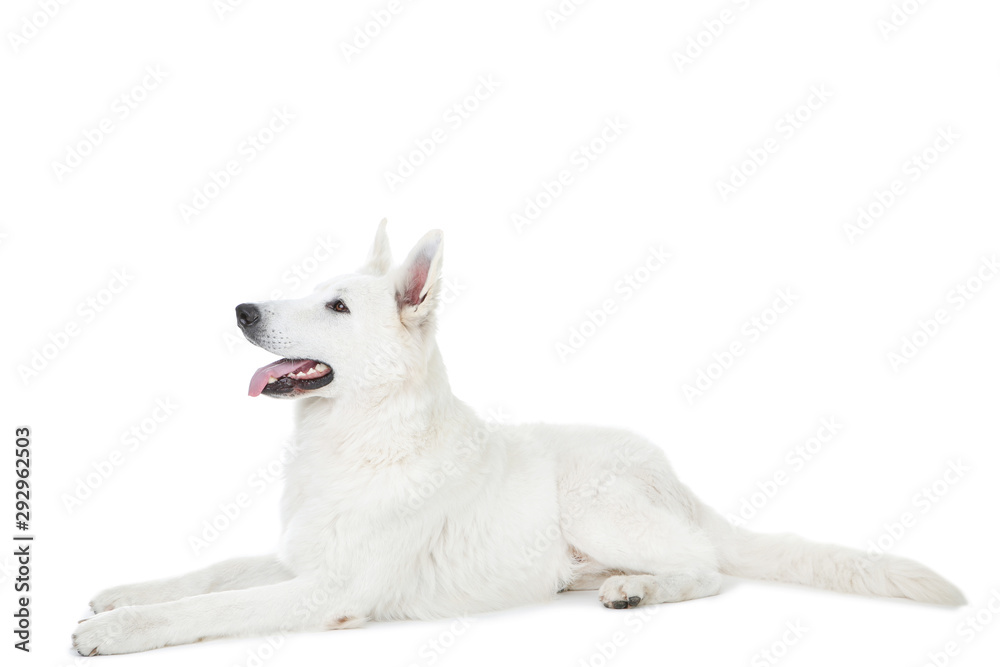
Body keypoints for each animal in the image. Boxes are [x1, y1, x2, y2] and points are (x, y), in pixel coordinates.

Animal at [74, 222, 964, 656]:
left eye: (337, 307)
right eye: (313, 293)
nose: (242, 310)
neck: (362, 434)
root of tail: (678, 480)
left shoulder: (328, 590)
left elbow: (212, 607)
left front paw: (115, 632)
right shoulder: (298, 557)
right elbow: (209, 574)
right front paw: (123, 593)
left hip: (597, 504)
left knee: (708, 567)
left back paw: (635, 587)